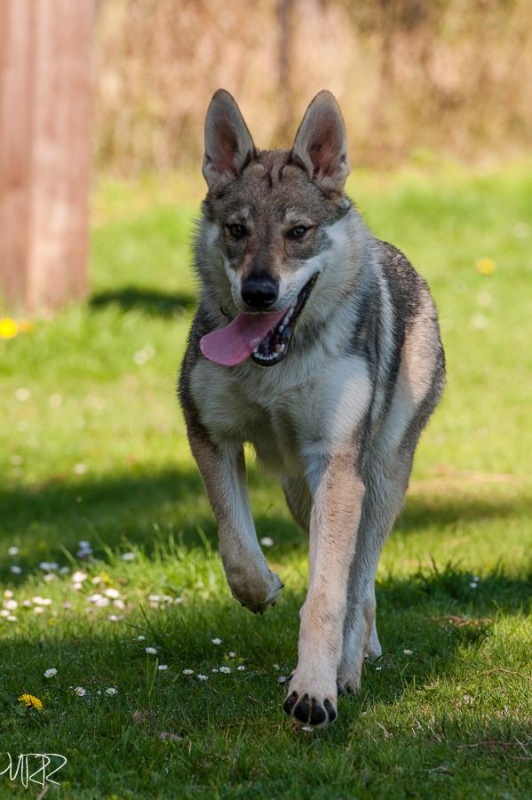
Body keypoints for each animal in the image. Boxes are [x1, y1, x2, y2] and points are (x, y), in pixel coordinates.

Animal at [179, 87, 444, 724]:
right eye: (237, 230)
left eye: (298, 232)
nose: (259, 293)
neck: (273, 369)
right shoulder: (210, 435)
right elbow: (237, 550)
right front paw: (264, 591)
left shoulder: (338, 468)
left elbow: (327, 595)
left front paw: (314, 691)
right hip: (303, 493)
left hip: (375, 481)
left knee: (359, 585)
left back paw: (348, 671)